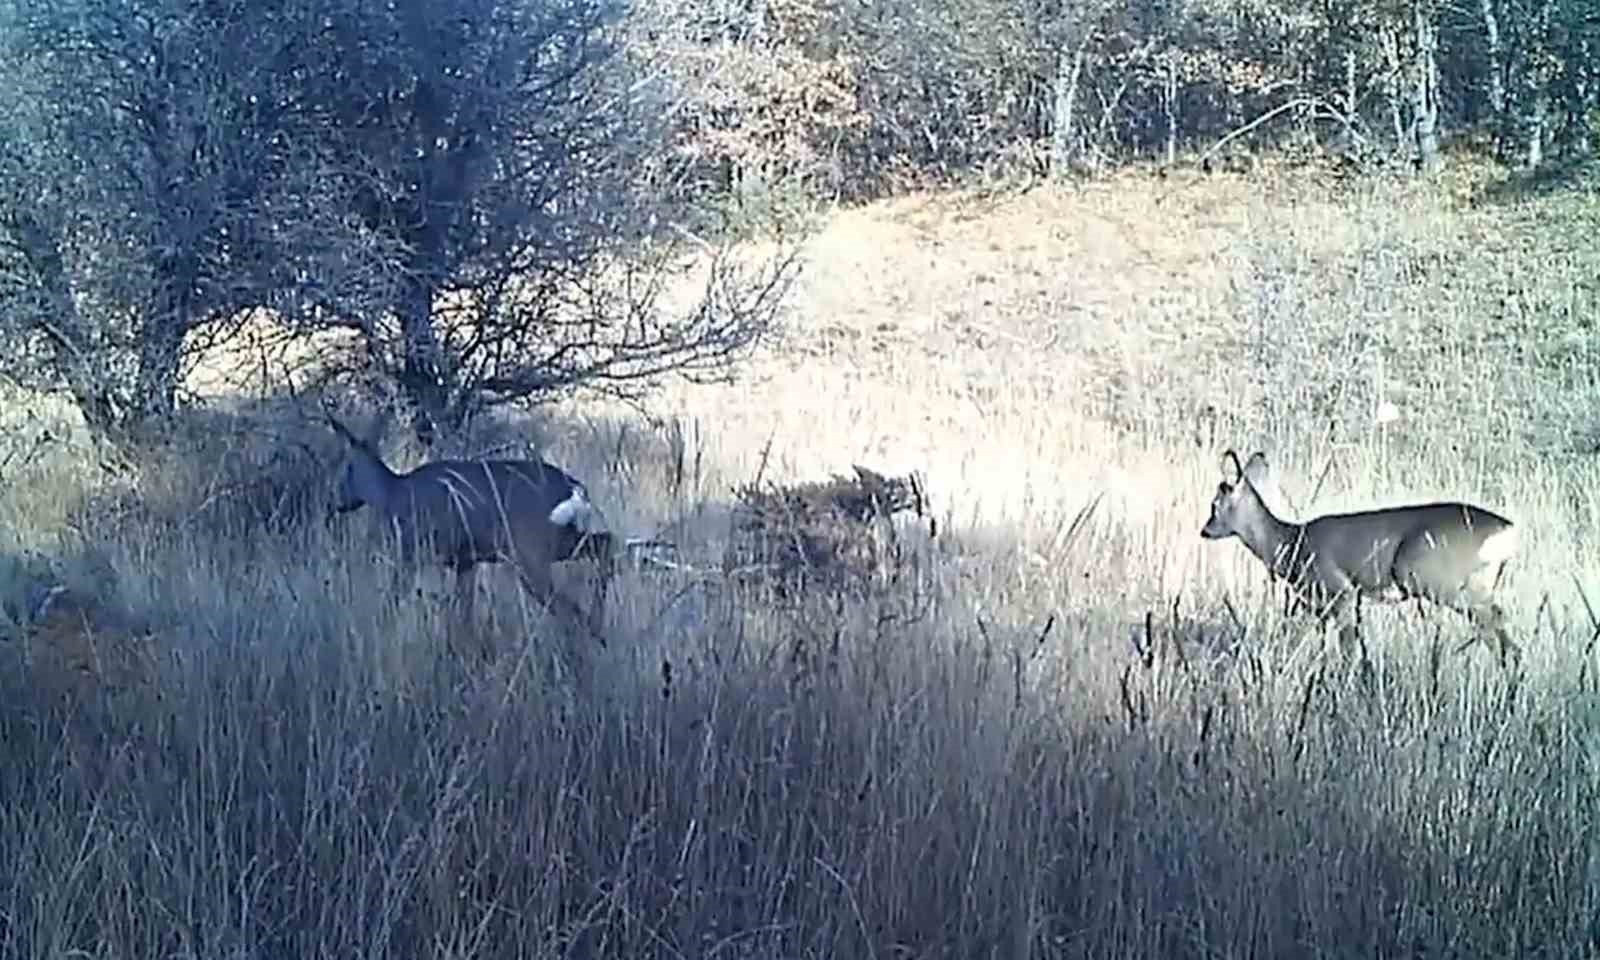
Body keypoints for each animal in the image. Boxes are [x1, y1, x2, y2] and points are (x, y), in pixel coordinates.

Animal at [321, 404, 614, 652]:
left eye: (342, 465)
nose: (332, 501)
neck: (393, 494)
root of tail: (577, 489)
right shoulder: (466, 561)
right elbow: (464, 613)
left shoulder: (412, 551)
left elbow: (393, 599)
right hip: (561, 539)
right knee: (605, 542)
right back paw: (598, 631)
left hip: (530, 551)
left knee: (566, 605)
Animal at [1203, 448, 1523, 668]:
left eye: (1214, 505)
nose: (1205, 530)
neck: (1292, 543)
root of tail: (1507, 529)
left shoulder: (1341, 591)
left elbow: (1348, 652)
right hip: (1477, 584)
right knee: (1505, 638)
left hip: (1435, 579)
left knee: (1495, 629)